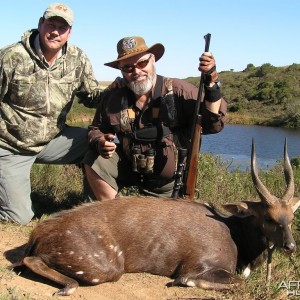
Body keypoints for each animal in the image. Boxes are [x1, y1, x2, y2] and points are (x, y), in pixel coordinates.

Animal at [9, 141, 300, 296]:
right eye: (268, 217)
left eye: (291, 217)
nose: (290, 246)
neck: (236, 237)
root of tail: (38, 234)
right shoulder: (199, 265)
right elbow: (230, 282)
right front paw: (183, 282)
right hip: (103, 267)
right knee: (32, 260)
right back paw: (67, 287)